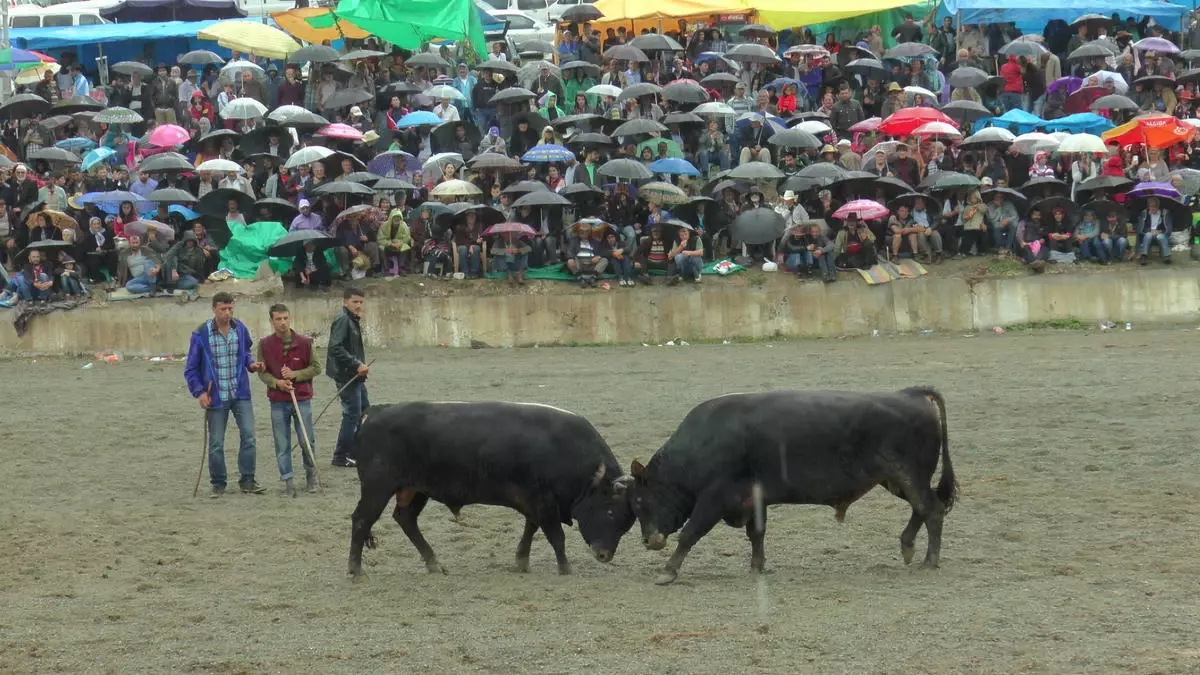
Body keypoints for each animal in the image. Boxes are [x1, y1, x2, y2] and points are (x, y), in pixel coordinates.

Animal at [348, 398, 638, 578]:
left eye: (627, 522)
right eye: (610, 512)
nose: (604, 555)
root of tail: (376, 412)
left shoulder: (534, 504)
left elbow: (531, 529)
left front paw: (521, 561)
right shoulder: (544, 502)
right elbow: (556, 535)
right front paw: (565, 568)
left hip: (415, 490)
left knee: (405, 519)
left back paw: (434, 563)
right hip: (377, 487)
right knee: (362, 520)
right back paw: (356, 570)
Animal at [628, 389, 955, 583]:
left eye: (641, 502)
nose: (648, 541)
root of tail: (910, 394)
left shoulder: (714, 499)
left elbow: (690, 533)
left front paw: (668, 572)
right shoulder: (752, 501)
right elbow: (756, 534)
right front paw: (756, 567)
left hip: (909, 476)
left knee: (932, 510)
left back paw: (929, 560)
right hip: (898, 480)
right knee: (922, 508)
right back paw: (908, 547)